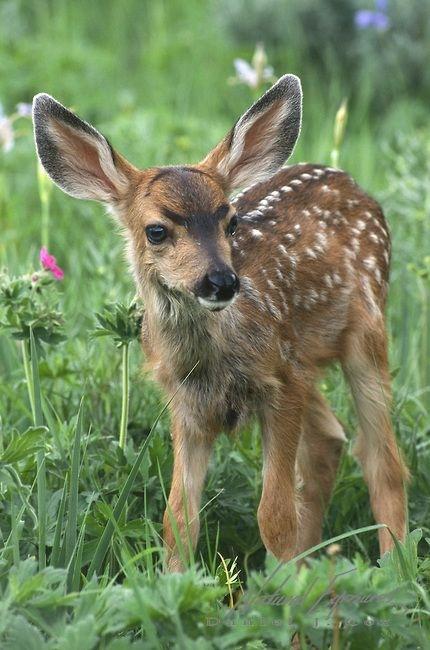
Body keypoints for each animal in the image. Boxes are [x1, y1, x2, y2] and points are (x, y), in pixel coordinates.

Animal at [31, 76, 408, 568]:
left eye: (230, 222)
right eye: (156, 230)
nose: (222, 281)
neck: (214, 360)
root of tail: (351, 182)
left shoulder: (281, 383)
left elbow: (274, 516)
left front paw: (287, 587)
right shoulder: (186, 405)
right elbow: (178, 518)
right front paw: (176, 580)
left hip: (366, 329)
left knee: (383, 461)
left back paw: (393, 569)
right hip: (307, 360)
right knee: (330, 441)